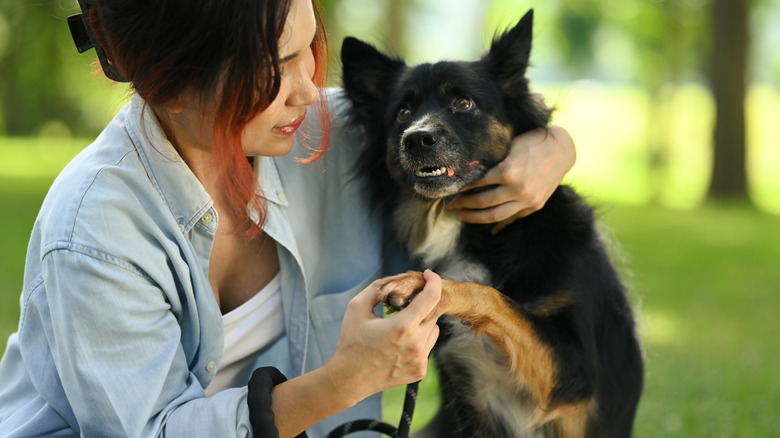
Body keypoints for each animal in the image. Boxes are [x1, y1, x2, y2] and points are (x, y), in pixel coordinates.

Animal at [340, 10, 640, 438]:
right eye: (402, 113)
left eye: (463, 102)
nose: (416, 139)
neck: (468, 226)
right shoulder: (468, 397)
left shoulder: (577, 371)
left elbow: (492, 296)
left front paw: (419, 285)